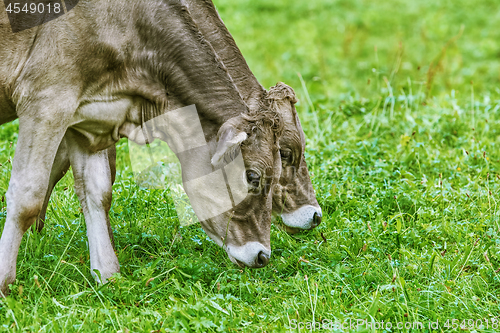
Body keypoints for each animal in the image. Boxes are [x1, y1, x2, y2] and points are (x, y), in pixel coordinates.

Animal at [0, 0, 282, 296]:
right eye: (252, 176)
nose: (262, 255)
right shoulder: (46, 100)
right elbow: (27, 197)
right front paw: (4, 282)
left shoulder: (89, 119)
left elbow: (97, 192)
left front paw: (108, 276)